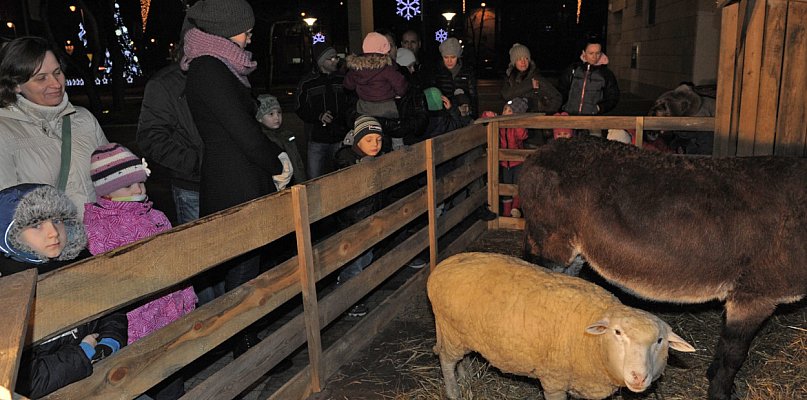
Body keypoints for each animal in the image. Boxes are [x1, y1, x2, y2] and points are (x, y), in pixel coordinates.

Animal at [430, 253, 696, 400]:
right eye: (618, 332)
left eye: (659, 341)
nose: (638, 377)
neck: (593, 342)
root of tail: (441, 268)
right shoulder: (554, 380)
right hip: (451, 333)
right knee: (446, 360)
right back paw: (454, 392)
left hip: (461, 334)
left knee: (461, 359)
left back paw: (466, 379)